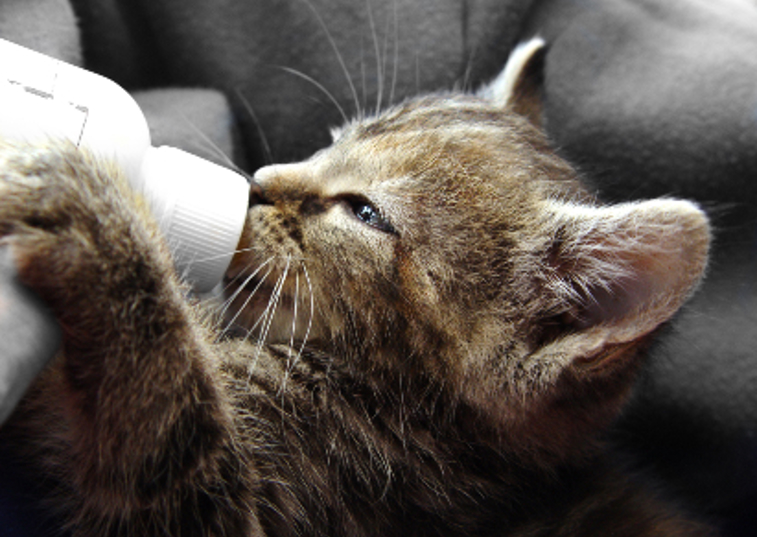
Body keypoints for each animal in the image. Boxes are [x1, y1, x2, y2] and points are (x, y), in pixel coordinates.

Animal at [2, 39, 712, 532]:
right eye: (334, 140)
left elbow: (165, 404)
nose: (257, 182)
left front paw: (91, 214)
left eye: (366, 213)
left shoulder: (247, 507)